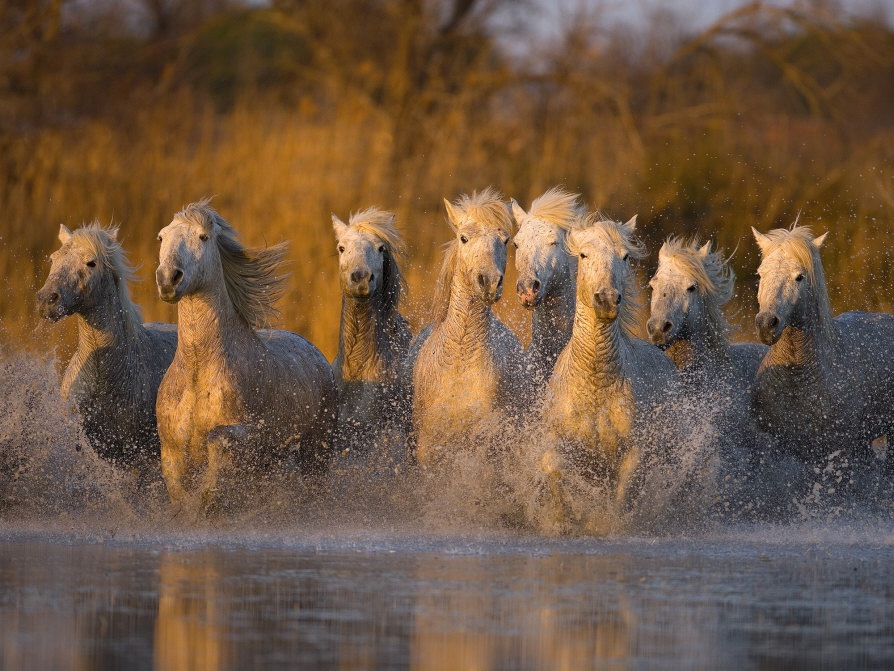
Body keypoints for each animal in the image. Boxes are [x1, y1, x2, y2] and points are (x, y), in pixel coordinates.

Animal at [155, 199, 336, 513]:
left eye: (203, 237)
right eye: (161, 237)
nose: (168, 279)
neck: (198, 369)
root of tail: (316, 353)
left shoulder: (251, 437)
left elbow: (217, 440)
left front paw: (207, 497)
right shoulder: (171, 451)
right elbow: (180, 496)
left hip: (316, 453)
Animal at [538, 214, 680, 531]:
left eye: (624, 256)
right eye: (583, 255)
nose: (606, 299)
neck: (595, 379)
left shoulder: (634, 453)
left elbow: (623, 495)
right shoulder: (558, 439)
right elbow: (553, 468)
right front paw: (565, 520)